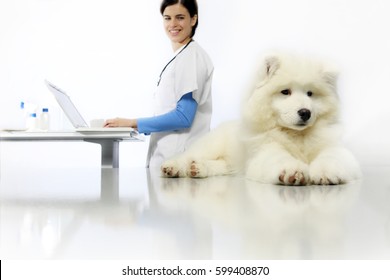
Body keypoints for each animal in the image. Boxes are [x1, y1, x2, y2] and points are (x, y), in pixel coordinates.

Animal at [160, 52, 362, 186]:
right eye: (285, 92)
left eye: (310, 94)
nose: (305, 112)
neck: (297, 135)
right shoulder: (265, 150)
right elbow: (279, 158)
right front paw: (293, 172)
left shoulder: (332, 146)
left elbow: (332, 156)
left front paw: (326, 172)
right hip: (211, 146)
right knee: (188, 155)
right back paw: (173, 168)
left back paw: (198, 169)